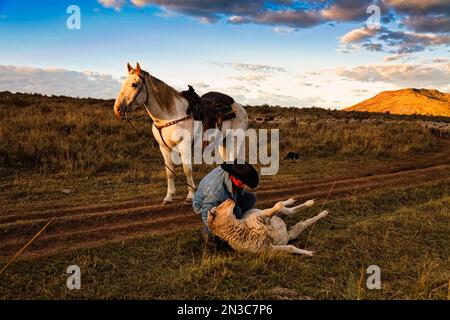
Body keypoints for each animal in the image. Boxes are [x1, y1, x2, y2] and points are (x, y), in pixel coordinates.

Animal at [112, 62, 246, 202]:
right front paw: (169, 197)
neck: (170, 116)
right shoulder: (164, 148)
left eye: (134, 84)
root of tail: (240, 107)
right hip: (223, 143)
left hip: (235, 141)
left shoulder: (184, 145)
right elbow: (169, 172)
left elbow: (187, 169)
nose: (117, 109)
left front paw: (190, 195)